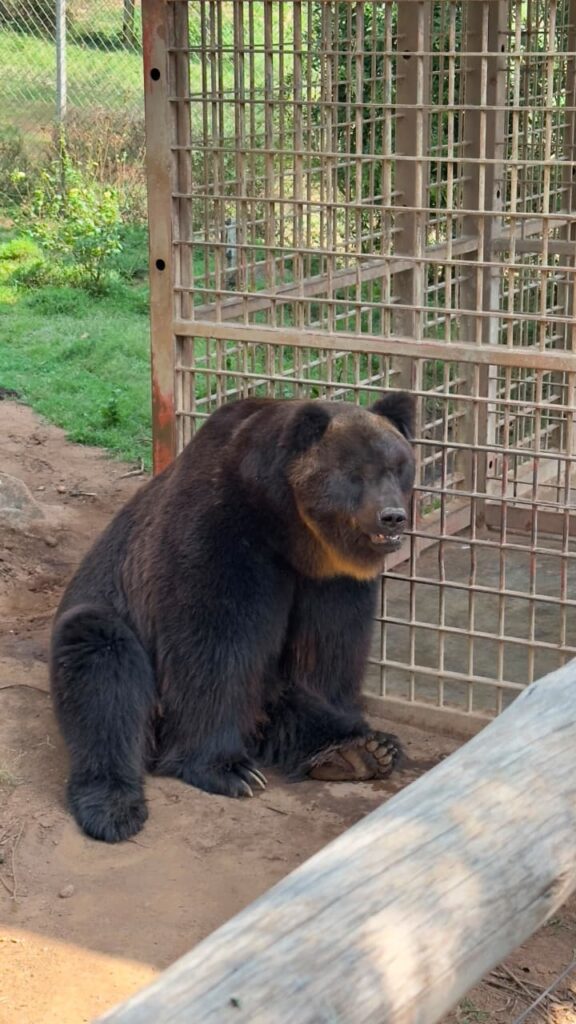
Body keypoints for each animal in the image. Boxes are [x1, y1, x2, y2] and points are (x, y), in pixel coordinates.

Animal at [50, 392, 416, 843]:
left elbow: (327, 656)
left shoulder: (333, 579)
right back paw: (113, 807)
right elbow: (215, 649)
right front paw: (228, 769)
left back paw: (362, 749)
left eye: (398, 467)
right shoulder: (221, 536)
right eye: (356, 472)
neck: (290, 530)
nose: (392, 516)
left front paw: (352, 727)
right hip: (108, 618)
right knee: (103, 671)